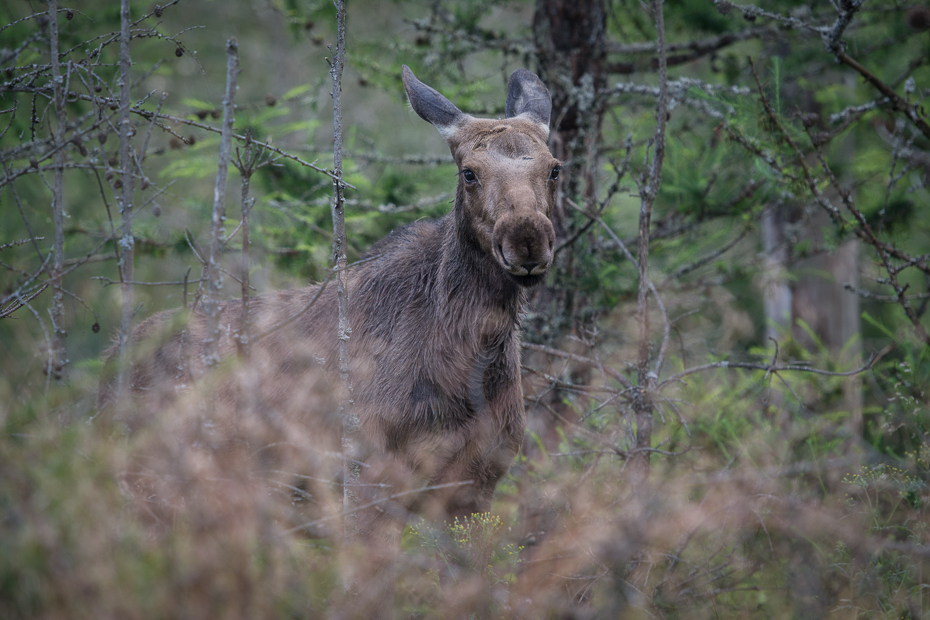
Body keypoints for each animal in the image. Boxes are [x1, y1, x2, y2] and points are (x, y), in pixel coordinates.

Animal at [99, 65, 560, 612]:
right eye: (468, 171)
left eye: (554, 168)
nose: (527, 237)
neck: (470, 361)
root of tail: (107, 367)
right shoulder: (371, 484)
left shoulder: (476, 486)